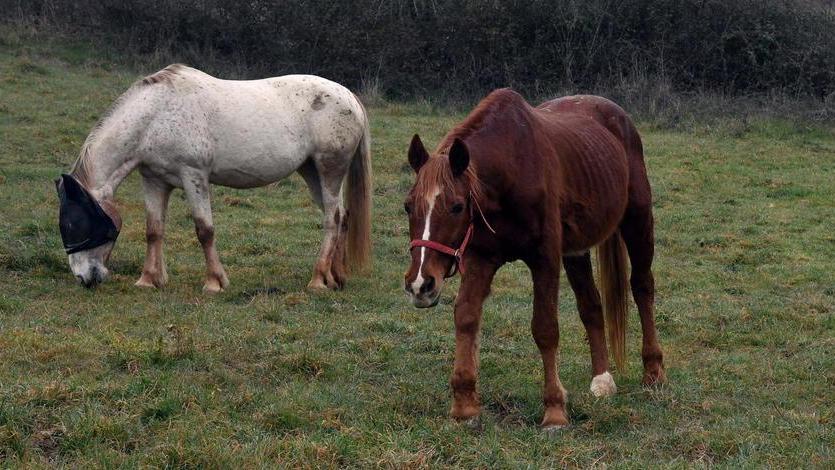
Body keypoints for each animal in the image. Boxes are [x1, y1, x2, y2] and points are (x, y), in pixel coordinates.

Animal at [56, 64, 371, 292]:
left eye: (75, 224)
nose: (84, 278)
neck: (156, 115)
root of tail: (349, 96)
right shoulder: (154, 180)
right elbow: (154, 230)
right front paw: (149, 280)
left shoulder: (193, 176)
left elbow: (204, 230)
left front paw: (215, 282)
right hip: (311, 171)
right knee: (342, 216)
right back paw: (335, 277)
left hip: (330, 170)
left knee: (332, 219)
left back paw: (318, 280)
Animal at [402, 90, 665, 429]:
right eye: (408, 206)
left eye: (457, 206)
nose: (420, 284)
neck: (510, 171)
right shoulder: (479, 259)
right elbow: (466, 317)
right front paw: (464, 404)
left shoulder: (545, 259)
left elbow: (545, 328)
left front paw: (554, 410)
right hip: (576, 250)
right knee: (591, 305)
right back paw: (602, 380)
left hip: (637, 221)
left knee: (643, 287)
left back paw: (654, 372)